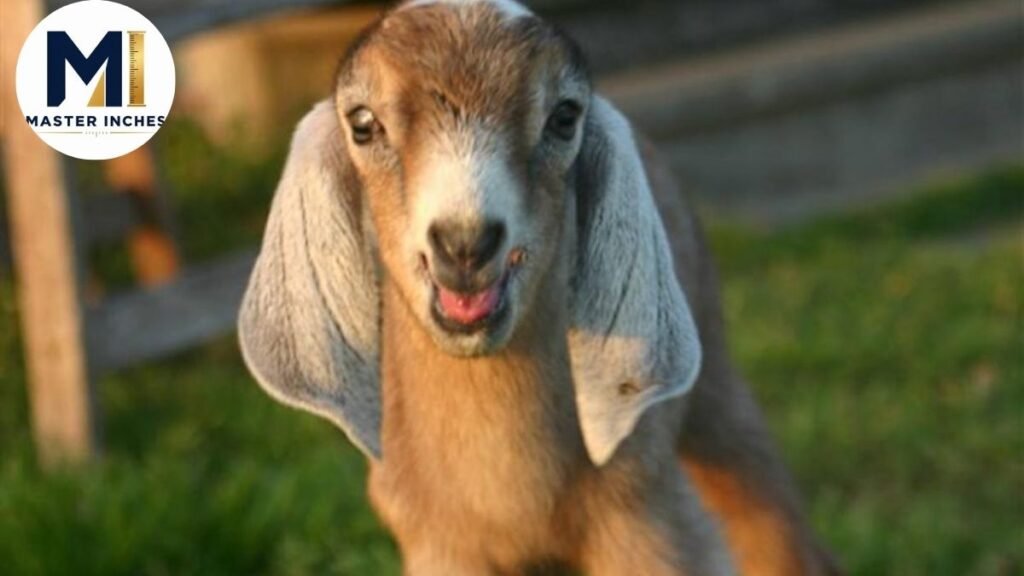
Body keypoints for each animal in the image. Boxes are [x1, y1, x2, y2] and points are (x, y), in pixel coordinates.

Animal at [238, 1, 842, 574]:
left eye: (565, 116)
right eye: (362, 123)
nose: (465, 243)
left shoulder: (648, 520)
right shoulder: (438, 544)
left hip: (713, 377)